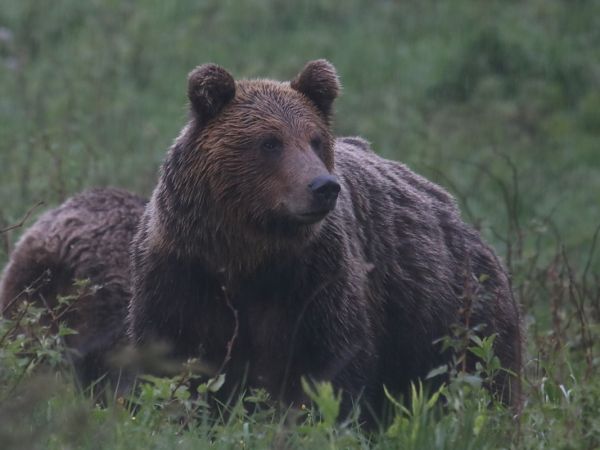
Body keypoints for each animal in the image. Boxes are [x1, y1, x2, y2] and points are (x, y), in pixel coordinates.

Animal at [126, 59, 520, 418]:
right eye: (270, 142)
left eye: (315, 140)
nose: (323, 186)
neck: (246, 253)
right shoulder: (181, 272)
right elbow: (171, 362)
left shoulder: (313, 280)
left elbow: (329, 368)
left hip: (456, 314)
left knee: (487, 375)